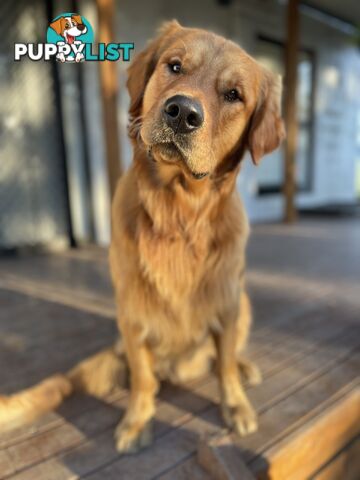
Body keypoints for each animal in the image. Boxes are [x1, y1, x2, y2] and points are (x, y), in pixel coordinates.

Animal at [0, 21, 284, 454]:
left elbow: (225, 366)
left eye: (234, 95)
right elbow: (143, 378)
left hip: (244, 301)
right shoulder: (132, 316)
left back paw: (244, 366)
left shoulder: (227, 302)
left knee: (228, 355)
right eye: (175, 66)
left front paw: (236, 405)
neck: (178, 213)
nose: (183, 112)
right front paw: (137, 421)